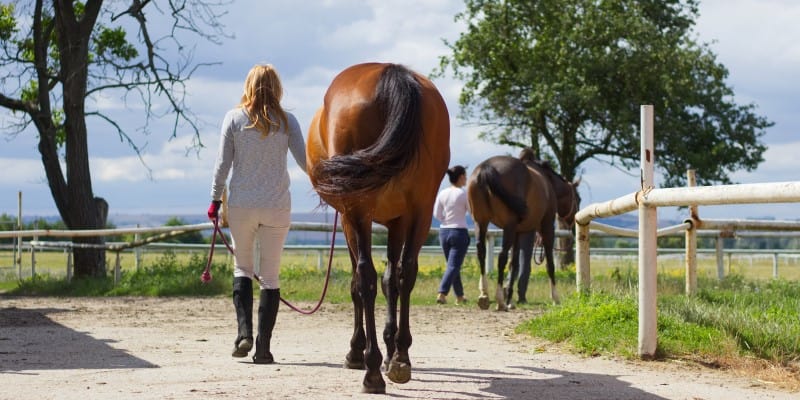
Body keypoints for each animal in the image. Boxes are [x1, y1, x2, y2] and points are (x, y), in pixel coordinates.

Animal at [306, 63, 450, 394]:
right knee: (405, 272)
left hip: (357, 211)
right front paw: (392, 349)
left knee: (365, 279)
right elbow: (392, 280)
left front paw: (358, 352)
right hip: (422, 211)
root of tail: (390, 72)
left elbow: (359, 284)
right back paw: (400, 360)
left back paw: (371, 370)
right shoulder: (400, 219)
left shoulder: (352, 219)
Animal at [466, 148, 580, 310]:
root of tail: (486, 168)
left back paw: (484, 295)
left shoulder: (518, 232)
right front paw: (555, 298)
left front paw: (510, 299)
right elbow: (550, 264)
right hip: (508, 226)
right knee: (501, 256)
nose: (575, 227)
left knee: (481, 252)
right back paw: (499, 300)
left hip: (481, 222)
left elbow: (514, 264)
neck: (547, 183)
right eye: (578, 199)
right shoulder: (547, 227)